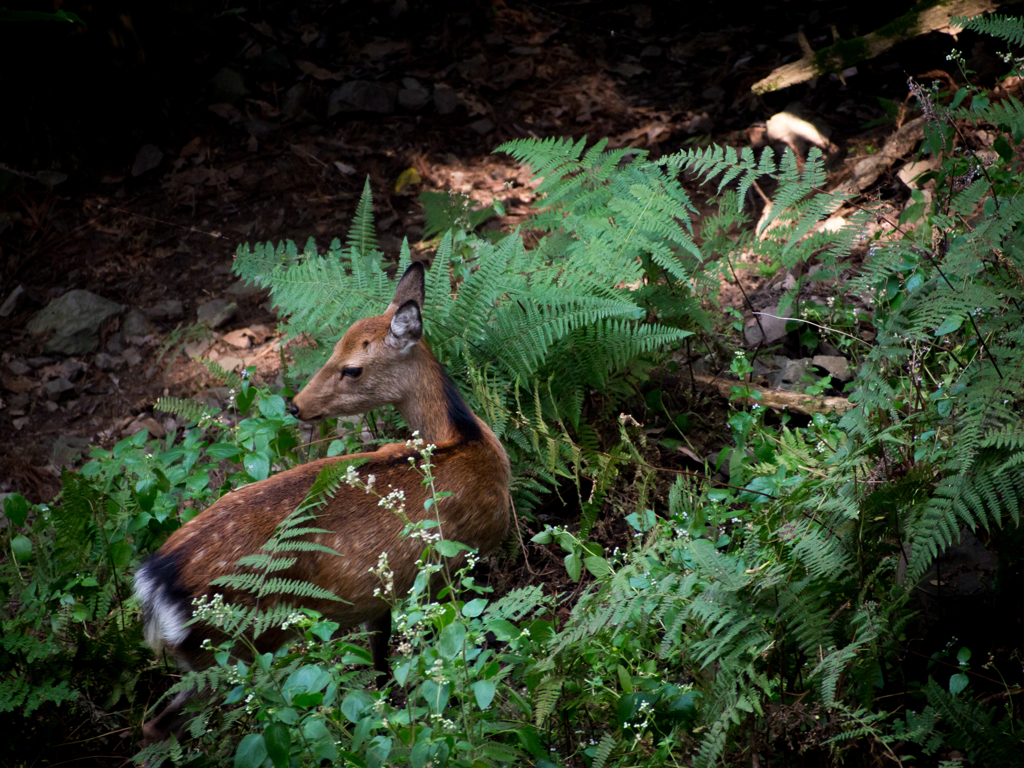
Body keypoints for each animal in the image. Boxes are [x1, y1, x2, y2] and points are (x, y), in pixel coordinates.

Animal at [136, 264, 512, 745]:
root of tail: (156, 582)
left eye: (351, 366)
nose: (296, 406)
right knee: (166, 720)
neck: (465, 443)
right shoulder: (455, 566)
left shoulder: (381, 595)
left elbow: (381, 666)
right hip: (233, 645)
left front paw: (388, 714)